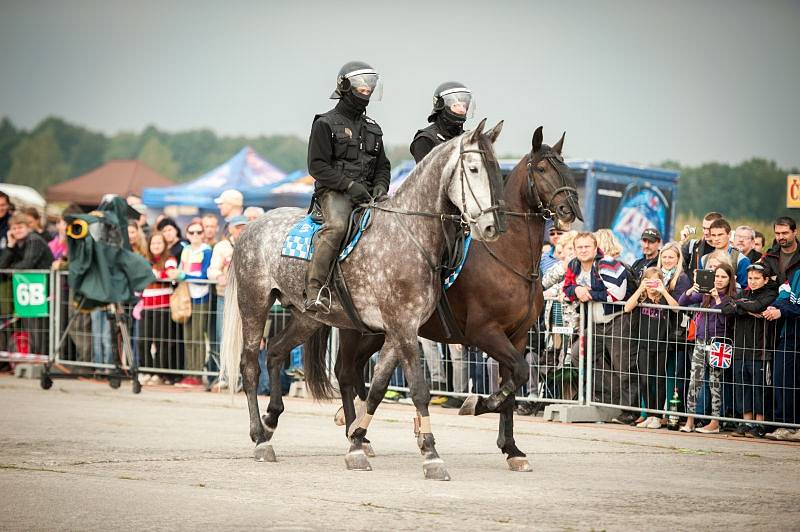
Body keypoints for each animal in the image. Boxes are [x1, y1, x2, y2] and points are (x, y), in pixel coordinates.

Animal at [222, 118, 504, 480]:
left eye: (496, 170)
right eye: (473, 168)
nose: (491, 227)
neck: (410, 236)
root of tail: (251, 226)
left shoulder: (401, 330)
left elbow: (378, 387)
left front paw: (357, 443)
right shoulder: (402, 327)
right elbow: (418, 389)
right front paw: (431, 456)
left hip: (306, 317)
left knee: (274, 352)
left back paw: (271, 420)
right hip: (254, 303)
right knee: (249, 365)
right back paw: (260, 437)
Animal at [308, 127, 580, 472]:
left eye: (566, 168)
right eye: (542, 169)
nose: (568, 210)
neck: (507, 255)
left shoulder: (516, 337)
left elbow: (514, 385)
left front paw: (512, 449)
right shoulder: (484, 332)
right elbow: (515, 377)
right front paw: (477, 403)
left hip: (378, 333)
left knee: (356, 375)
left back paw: (359, 431)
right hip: (359, 330)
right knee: (345, 373)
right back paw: (355, 433)